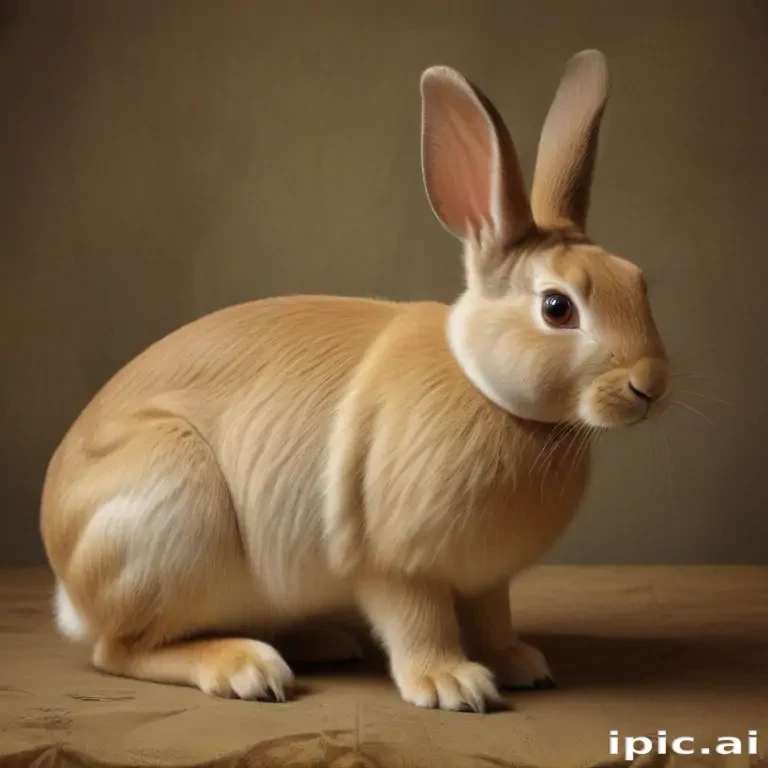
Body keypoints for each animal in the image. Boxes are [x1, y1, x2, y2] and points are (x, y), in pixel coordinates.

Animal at [40, 49, 669, 713]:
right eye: (557, 308)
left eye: (637, 281)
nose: (651, 385)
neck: (485, 389)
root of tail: (68, 581)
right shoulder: (395, 568)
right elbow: (421, 623)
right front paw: (452, 685)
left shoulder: (484, 579)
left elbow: (494, 618)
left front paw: (521, 664)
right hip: (167, 519)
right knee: (120, 652)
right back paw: (247, 668)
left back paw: (320, 641)